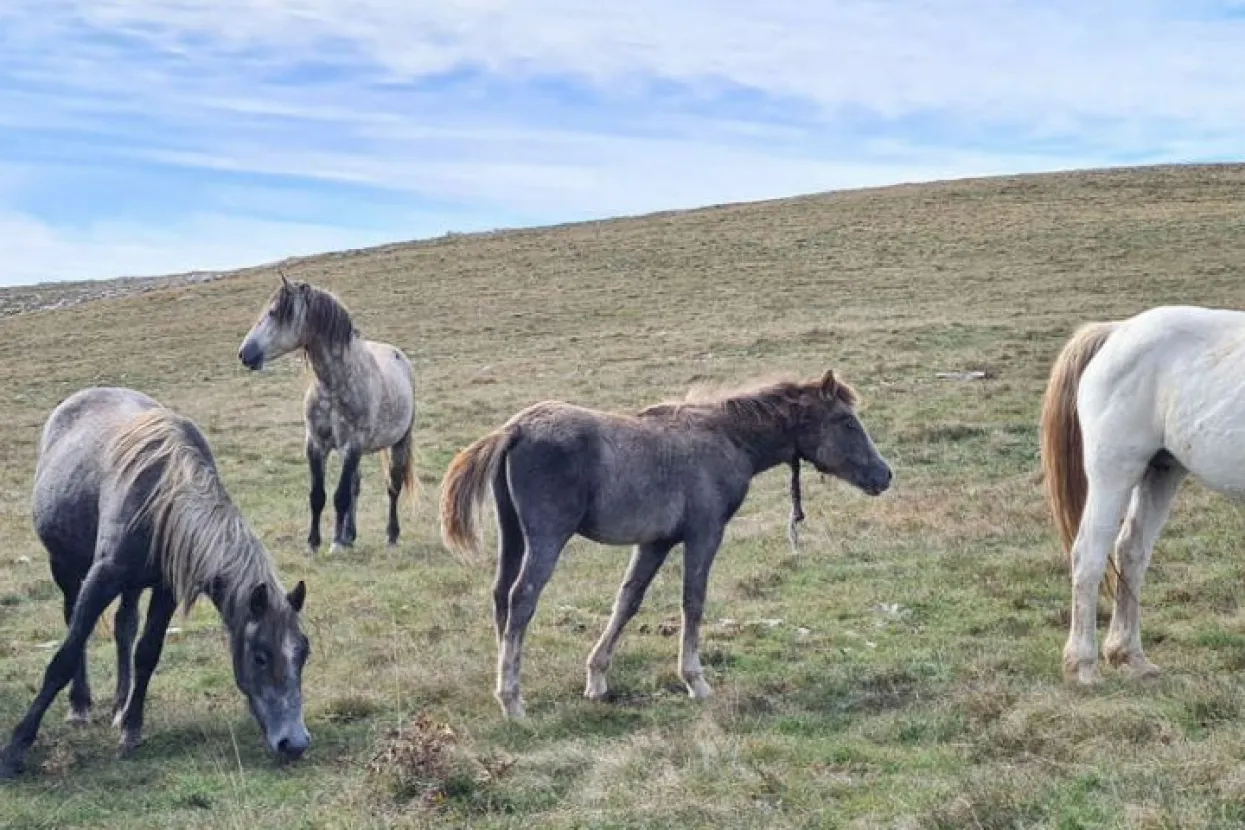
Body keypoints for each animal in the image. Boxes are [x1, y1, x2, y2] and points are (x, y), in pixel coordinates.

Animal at [0, 388, 311, 781]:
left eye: (303, 653)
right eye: (260, 656)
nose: (295, 743)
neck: (163, 492)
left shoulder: (166, 590)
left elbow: (147, 652)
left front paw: (131, 727)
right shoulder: (101, 578)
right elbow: (64, 657)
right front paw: (15, 749)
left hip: (132, 585)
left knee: (124, 627)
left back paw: (120, 703)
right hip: (66, 568)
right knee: (74, 622)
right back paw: (80, 705)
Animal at [237, 276, 418, 554]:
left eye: (275, 312)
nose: (245, 353)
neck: (334, 384)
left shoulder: (352, 445)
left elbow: (340, 496)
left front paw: (335, 545)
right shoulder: (316, 444)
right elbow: (318, 495)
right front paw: (314, 543)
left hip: (399, 442)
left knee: (393, 486)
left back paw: (390, 535)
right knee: (356, 486)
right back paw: (349, 535)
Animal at [443, 370, 891, 721]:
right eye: (846, 421)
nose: (885, 475)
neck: (727, 437)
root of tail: (515, 429)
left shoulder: (655, 543)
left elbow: (627, 601)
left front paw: (597, 678)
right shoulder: (704, 534)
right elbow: (693, 601)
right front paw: (695, 681)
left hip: (513, 536)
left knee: (501, 596)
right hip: (546, 539)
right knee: (522, 598)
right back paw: (512, 701)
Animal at [1035, 308, 1245, 686]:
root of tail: (1118, 331)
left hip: (1161, 471)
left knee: (1131, 550)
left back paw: (1128, 656)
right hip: (1114, 473)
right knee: (1088, 554)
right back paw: (1083, 665)